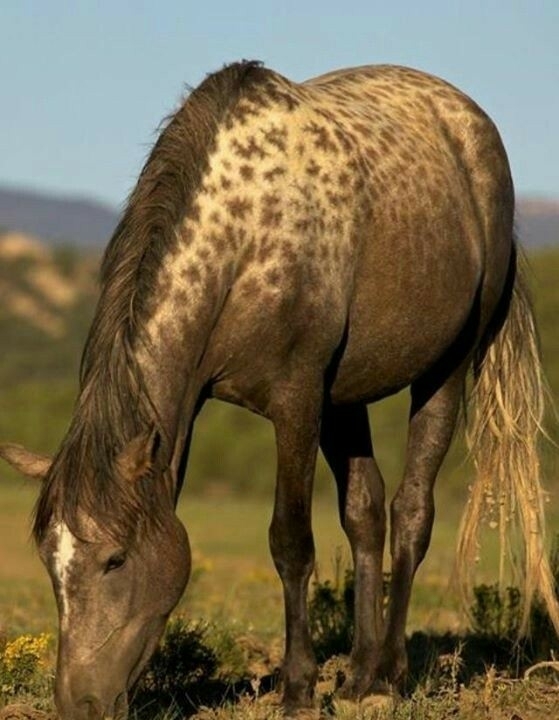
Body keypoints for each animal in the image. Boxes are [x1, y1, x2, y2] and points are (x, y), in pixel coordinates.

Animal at [1, 60, 558, 719]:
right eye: (49, 561)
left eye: (115, 558)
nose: (79, 703)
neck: (243, 239)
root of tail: (473, 126)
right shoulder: (264, 401)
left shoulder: (296, 402)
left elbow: (290, 541)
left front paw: (297, 689)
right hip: (346, 397)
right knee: (366, 513)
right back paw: (358, 676)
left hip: (442, 371)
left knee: (412, 512)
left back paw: (388, 677)